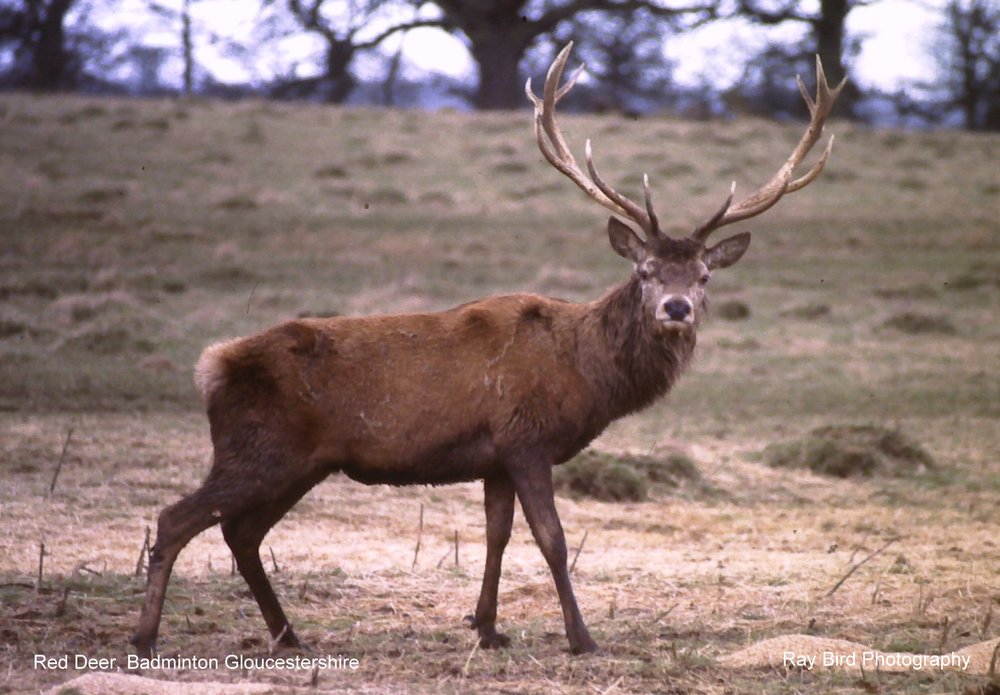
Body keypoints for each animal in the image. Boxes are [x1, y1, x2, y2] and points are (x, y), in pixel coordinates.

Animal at [131, 43, 844, 658]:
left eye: (702, 276)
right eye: (645, 271)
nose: (676, 308)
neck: (584, 371)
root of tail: (212, 365)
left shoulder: (495, 456)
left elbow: (497, 536)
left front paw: (487, 628)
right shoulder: (527, 438)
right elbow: (553, 539)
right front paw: (581, 638)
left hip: (299, 461)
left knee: (240, 532)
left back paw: (288, 635)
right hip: (260, 448)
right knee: (176, 519)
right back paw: (146, 636)